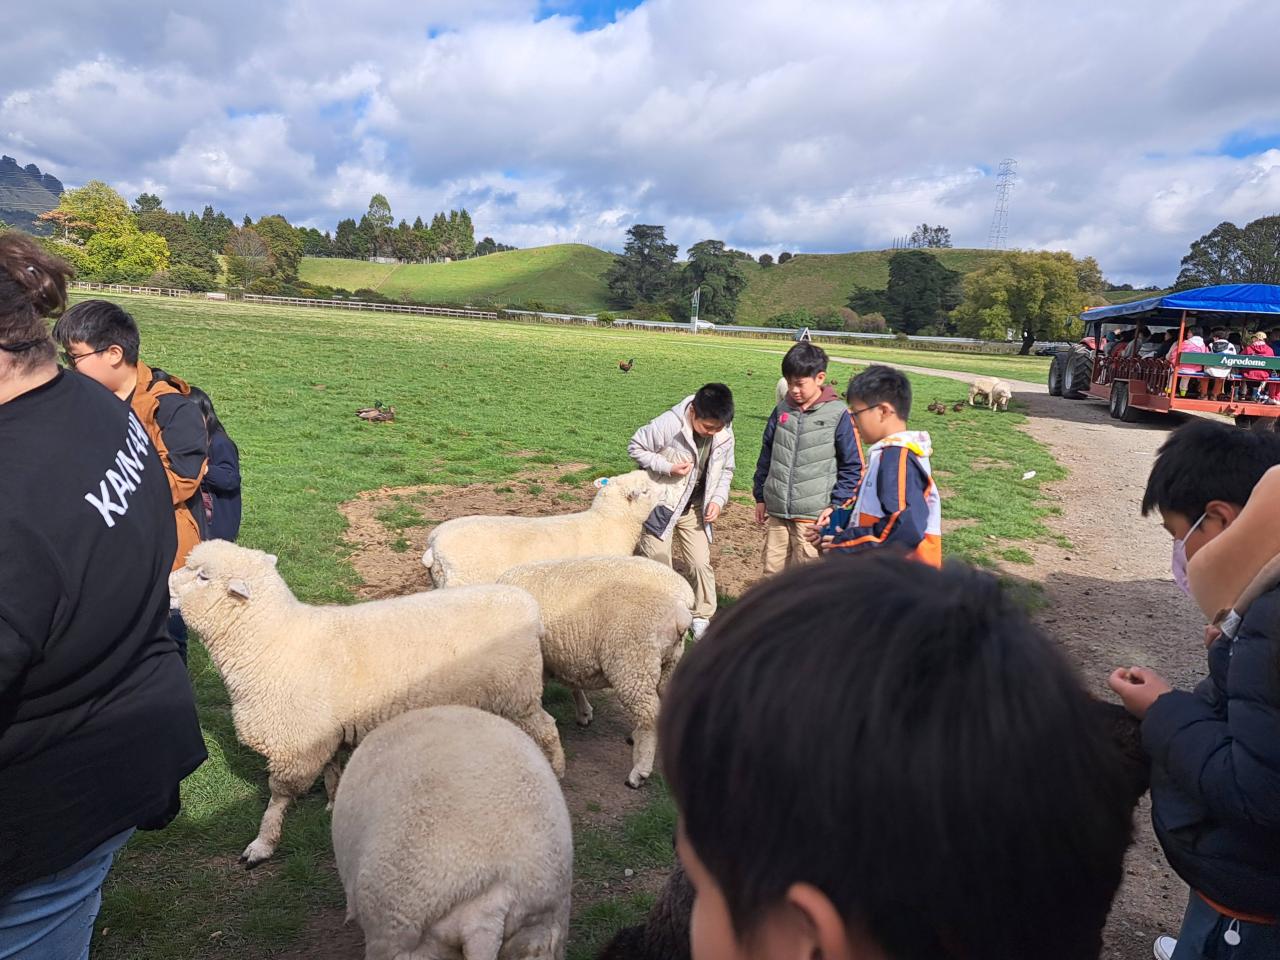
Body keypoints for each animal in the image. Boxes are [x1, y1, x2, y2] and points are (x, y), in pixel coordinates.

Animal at [170, 540, 565, 867]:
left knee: (547, 728)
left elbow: (277, 800)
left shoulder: (294, 743)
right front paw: (332, 803)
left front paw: (261, 845)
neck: (276, 641)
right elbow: (332, 769)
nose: (167, 587)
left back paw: (557, 769)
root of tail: (526, 604)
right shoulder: (322, 732)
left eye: (203, 576)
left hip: (518, 692)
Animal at [497, 556, 694, 788]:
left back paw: (639, 771)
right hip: (669, 661)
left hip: (633, 660)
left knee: (649, 715)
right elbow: (573, 684)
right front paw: (584, 712)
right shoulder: (559, 655)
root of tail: (681, 606)